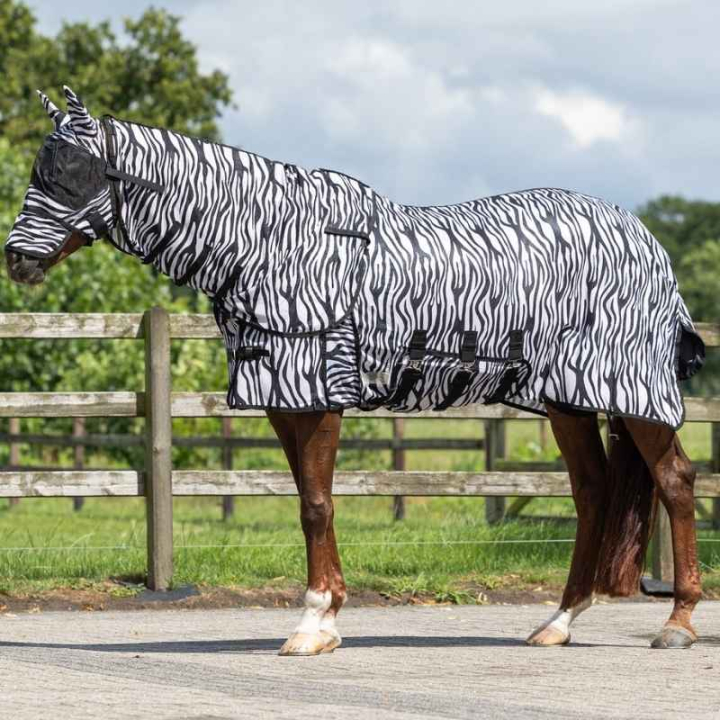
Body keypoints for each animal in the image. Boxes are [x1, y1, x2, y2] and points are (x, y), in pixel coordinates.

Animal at [4, 86, 706, 654]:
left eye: (72, 174)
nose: (17, 260)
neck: (271, 242)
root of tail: (644, 239)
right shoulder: (283, 401)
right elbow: (309, 503)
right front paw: (327, 619)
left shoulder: (320, 394)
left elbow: (317, 506)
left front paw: (313, 625)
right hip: (567, 401)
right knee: (592, 491)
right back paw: (558, 622)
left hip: (635, 396)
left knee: (674, 481)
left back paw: (677, 622)